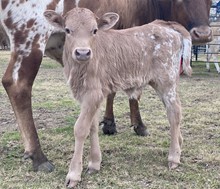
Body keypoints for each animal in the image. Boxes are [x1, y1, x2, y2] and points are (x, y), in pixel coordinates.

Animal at [0, 0, 213, 173]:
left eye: (95, 30)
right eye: (67, 30)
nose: (203, 34)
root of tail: (167, 25)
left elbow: (91, 118)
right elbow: (98, 119)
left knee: (174, 111)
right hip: (30, 37)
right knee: (17, 84)